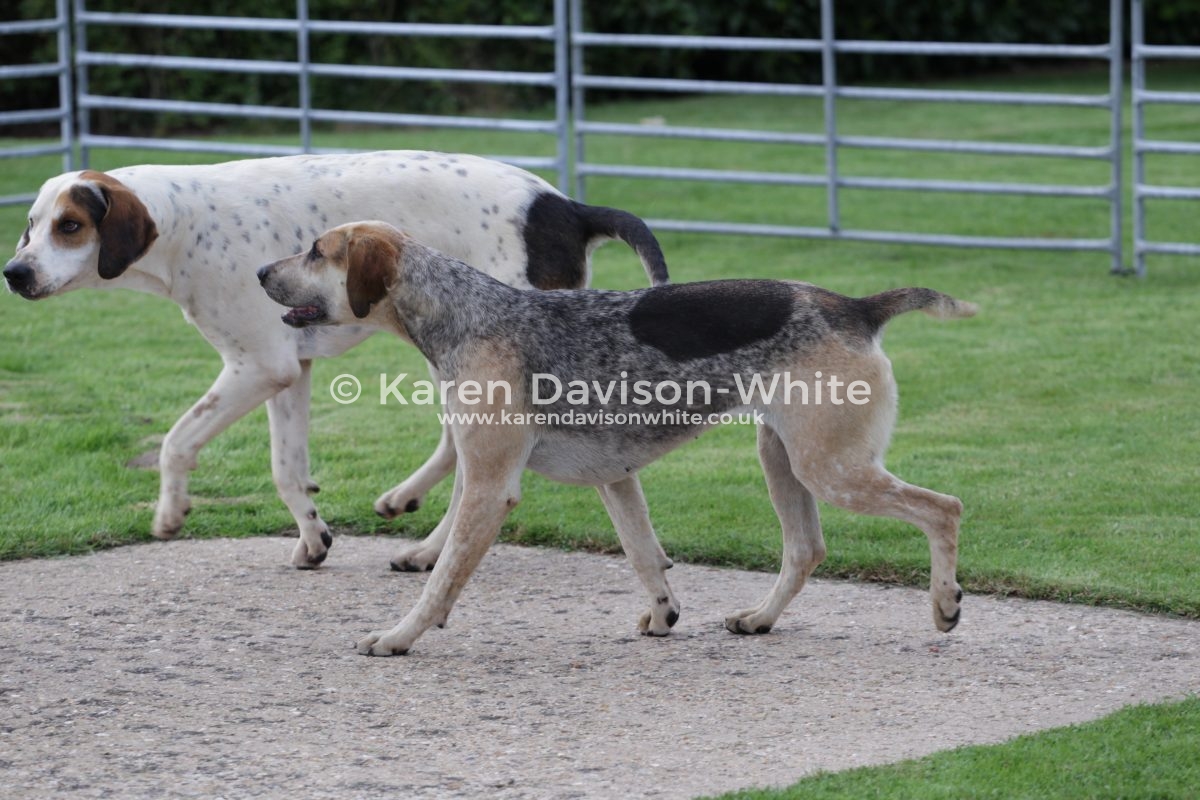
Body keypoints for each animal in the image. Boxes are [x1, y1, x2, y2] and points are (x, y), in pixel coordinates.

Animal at [3, 151, 668, 569]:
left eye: (70, 226)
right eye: (30, 226)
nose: (14, 273)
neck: (183, 221)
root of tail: (566, 206)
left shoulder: (257, 367)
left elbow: (176, 440)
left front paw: (169, 511)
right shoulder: (289, 373)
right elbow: (286, 469)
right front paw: (313, 537)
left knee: (473, 465)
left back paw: (429, 546)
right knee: (458, 455)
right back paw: (415, 523)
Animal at [257, 220, 976, 656]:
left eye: (317, 251)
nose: (261, 272)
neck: (469, 315)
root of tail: (857, 307)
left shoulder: (489, 489)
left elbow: (440, 581)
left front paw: (401, 635)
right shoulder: (615, 479)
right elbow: (644, 557)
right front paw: (663, 616)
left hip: (831, 468)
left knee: (944, 508)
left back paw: (944, 604)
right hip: (784, 459)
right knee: (806, 550)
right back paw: (761, 618)